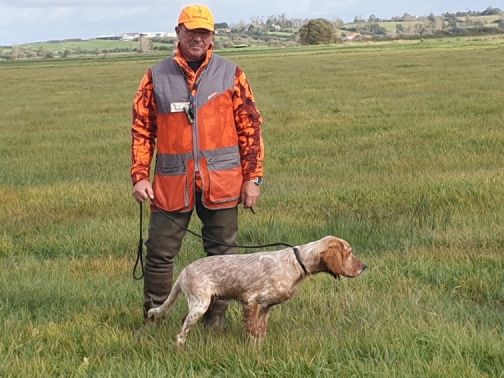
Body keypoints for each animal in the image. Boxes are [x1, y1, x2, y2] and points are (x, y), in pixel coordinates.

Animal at [147, 235, 366, 346]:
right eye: (349, 253)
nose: (364, 266)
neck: (296, 262)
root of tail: (184, 271)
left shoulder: (266, 306)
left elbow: (260, 330)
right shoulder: (251, 300)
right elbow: (251, 329)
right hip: (200, 304)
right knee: (181, 332)